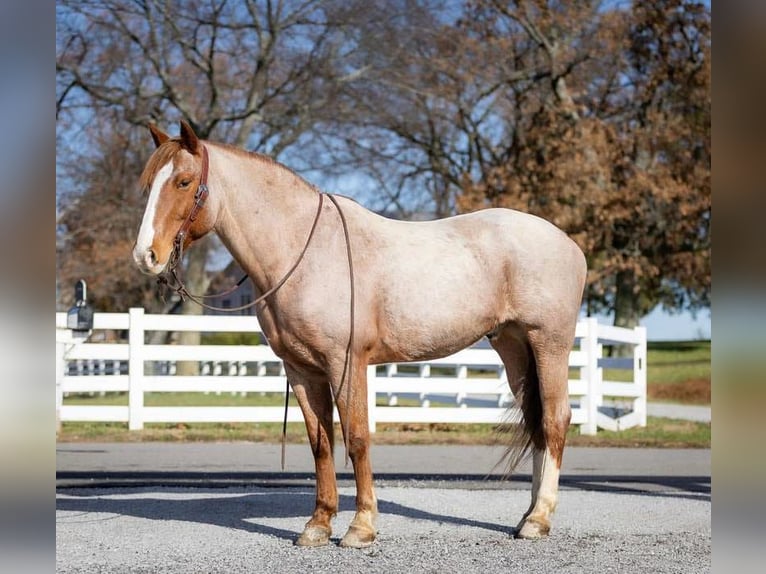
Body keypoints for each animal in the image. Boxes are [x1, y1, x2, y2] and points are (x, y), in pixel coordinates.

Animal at [134, 120, 588, 548]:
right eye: (149, 183)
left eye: (184, 181)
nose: (146, 256)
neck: (305, 251)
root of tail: (569, 244)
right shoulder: (302, 370)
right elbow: (321, 444)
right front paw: (317, 526)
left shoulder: (346, 363)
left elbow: (356, 438)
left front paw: (360, 527)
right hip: (514, 348)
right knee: (537, 424)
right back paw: (527, 516)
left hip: (548, 345)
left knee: (555, 420)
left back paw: (539, 519)